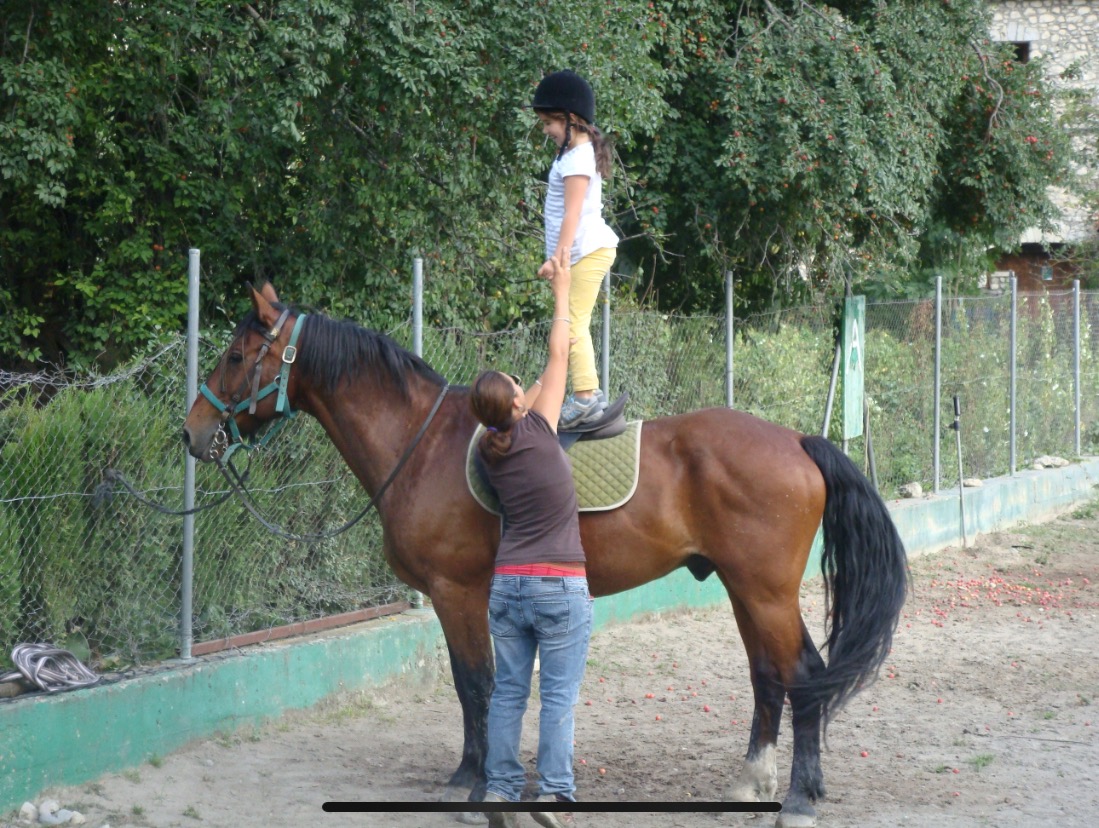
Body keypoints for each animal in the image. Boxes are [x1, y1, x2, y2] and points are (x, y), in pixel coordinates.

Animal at [182, 283, 908, 827]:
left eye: (238, 353)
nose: (193, 432)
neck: (422, 445)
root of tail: (795, 440)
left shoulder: (456, 592)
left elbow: (475, 684)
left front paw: (470, 783)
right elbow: (479, 685)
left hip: (763, 590)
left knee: (803, 674)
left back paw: (799, 798)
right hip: (742, 588)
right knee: (768, 676)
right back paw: (752, 782)